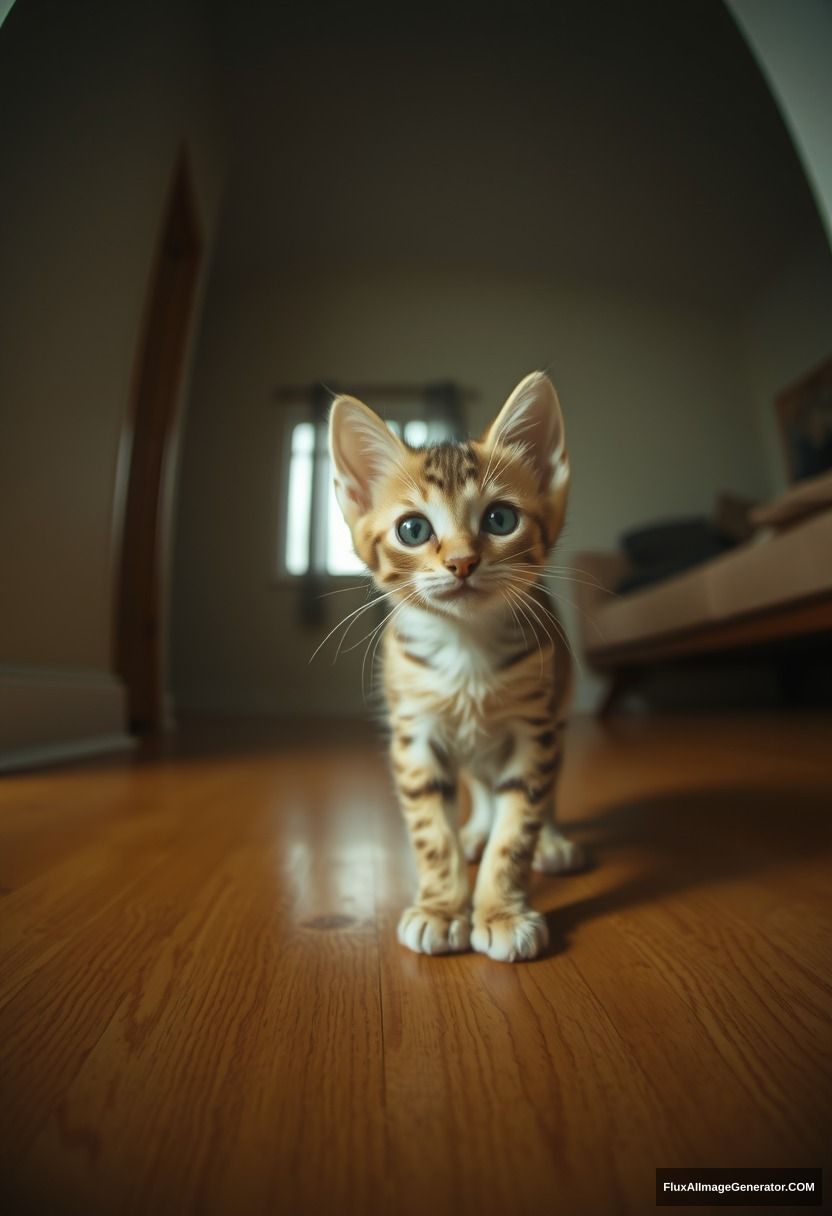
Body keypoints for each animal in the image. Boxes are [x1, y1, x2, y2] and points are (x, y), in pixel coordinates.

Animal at [328, 369, 581, 958]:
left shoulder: (532, 729)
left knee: (539, 786)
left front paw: (502, 909)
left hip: (556, 712)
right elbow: (430, 830)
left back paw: (552, 840)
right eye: (413, 530)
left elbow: (520, 822)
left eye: (500, 518)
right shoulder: (415, 734)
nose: (463, 562)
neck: (465, 646)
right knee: (483, 783)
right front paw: (443, 907)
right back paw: (475, 831)